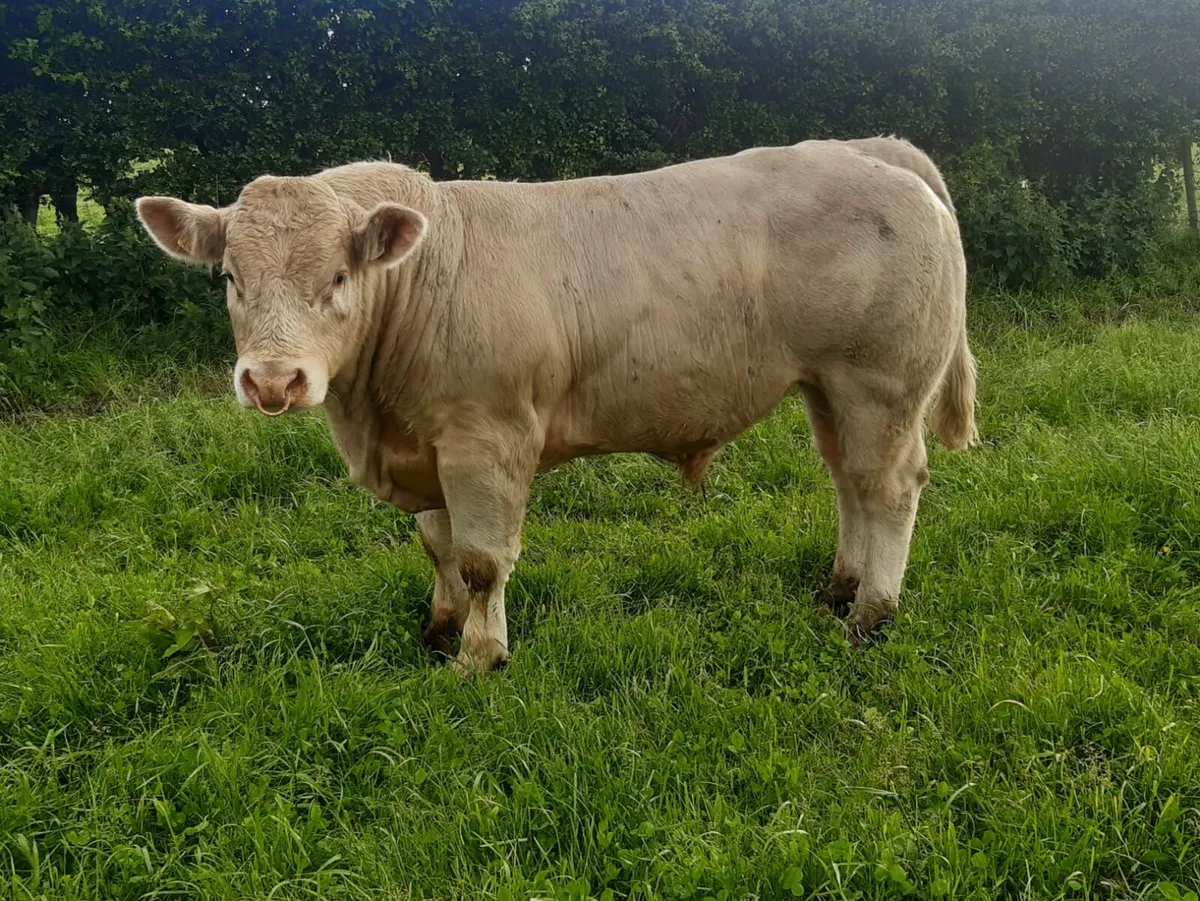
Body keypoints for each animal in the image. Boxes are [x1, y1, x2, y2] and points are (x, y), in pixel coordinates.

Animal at [136, 136, 978, 674]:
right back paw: (838, 589)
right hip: (828, 388)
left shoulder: (487, 438)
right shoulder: (426, 441)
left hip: (881, 383)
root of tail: (873, 149)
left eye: (338, 277)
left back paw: (870, 614)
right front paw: (438, 631)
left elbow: (482, 560)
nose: (274, 380)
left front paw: (480, 657)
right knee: (849, 482)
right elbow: (438, 546)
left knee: (888, 487)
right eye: (231, 278)